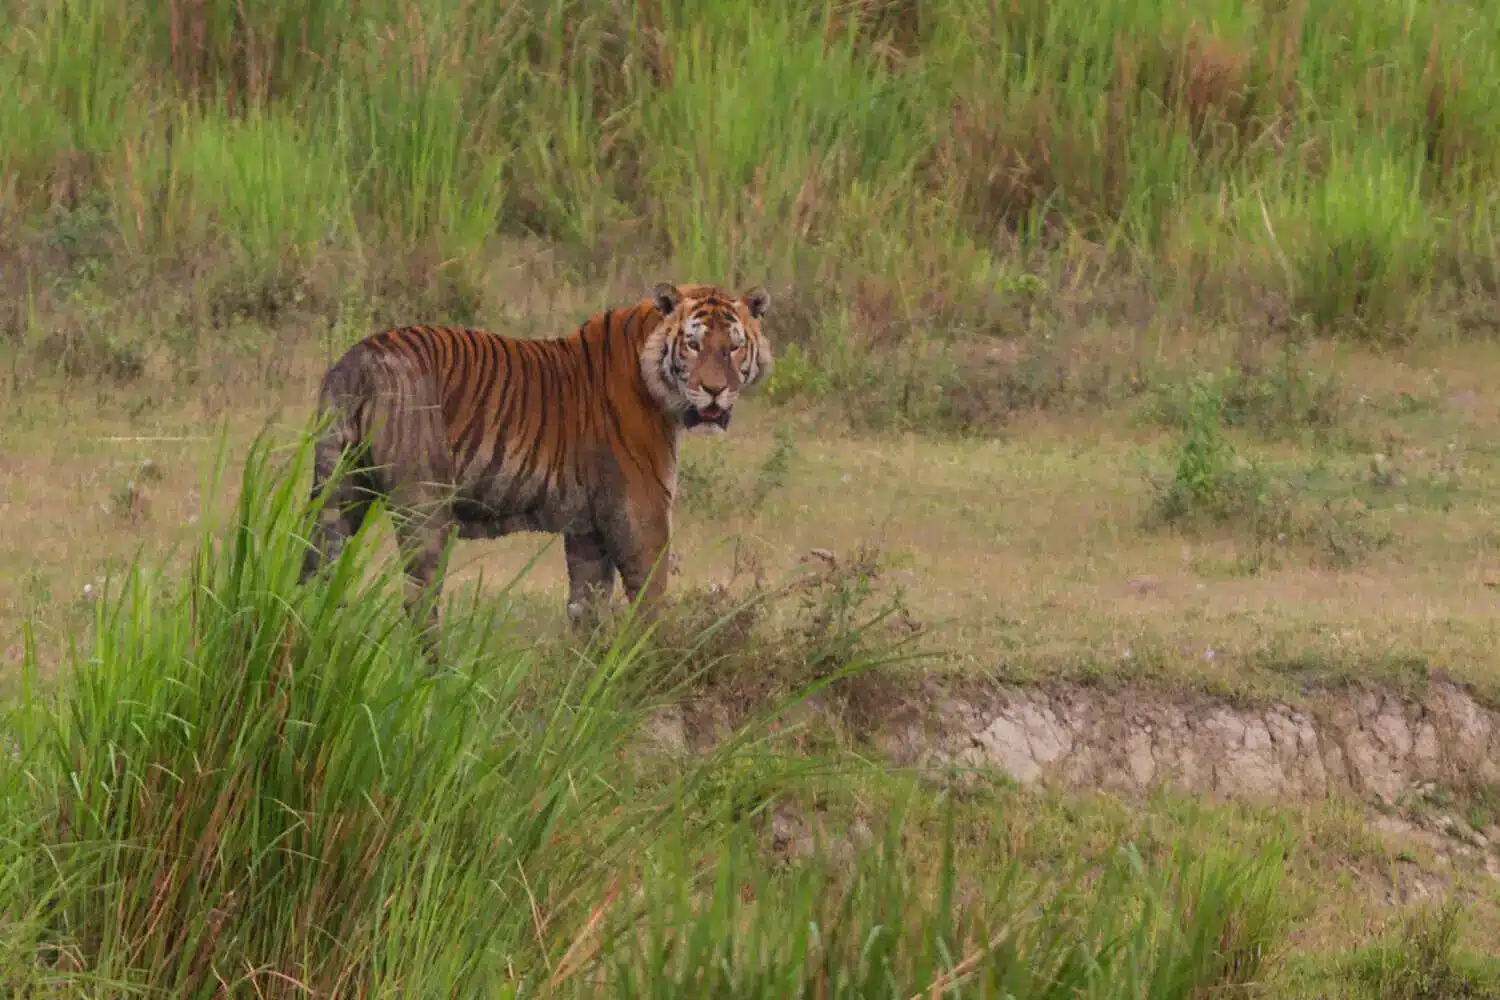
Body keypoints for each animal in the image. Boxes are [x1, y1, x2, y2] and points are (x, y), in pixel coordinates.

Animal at [300, 280, 780, 650]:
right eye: (694, 345)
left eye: (734, 348)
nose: (715, 391)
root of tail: (359, 358)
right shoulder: (642, 513)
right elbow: (650, 598)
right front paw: (648, 663)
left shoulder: (587, 529)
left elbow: (586, 607)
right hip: (423, 506)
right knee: (418, 602)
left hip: (339, 491)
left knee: (316, 569)